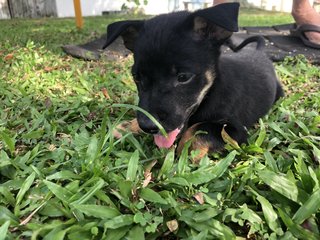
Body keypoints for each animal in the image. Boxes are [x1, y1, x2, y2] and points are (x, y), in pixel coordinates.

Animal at [106, 3, 284, 158]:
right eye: (137, 77)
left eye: (183, 77)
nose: (148, 126)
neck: (211, 91)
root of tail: (260, 52)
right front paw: (127, 126)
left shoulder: (237, 129)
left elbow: (201, 128)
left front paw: (188, 151)